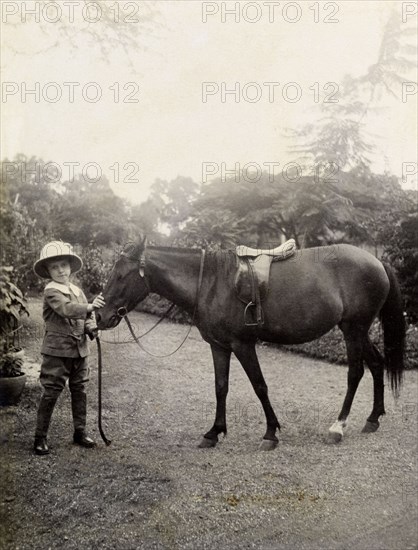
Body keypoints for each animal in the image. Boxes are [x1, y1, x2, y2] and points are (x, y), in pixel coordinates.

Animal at [95, 239, 404, 450]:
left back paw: (338, 426)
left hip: (354, 329)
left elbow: (259, 386)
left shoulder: (243, 345)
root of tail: (377, 262)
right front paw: (214, 432)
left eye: (121, 275)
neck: (209, 282)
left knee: (356, 372)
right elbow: (221, 387)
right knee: (377, 363)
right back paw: (373, 419)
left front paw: (270, 433)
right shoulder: (218, 346)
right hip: (357, 330)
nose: (100, 315)